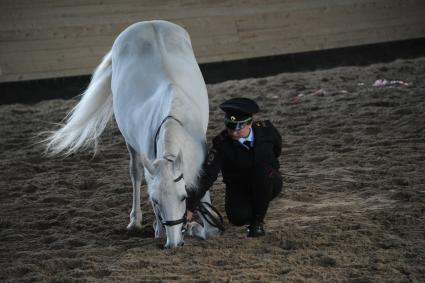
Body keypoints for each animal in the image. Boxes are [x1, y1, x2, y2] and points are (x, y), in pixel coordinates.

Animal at [45, 20, 219, 248]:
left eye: (183, 197)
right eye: (156, 201)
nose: (174, 244)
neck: (175, 118)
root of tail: (148, 22)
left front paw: (197, 226)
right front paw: (164, 229)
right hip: (130, 142)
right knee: (135, 173)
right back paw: (135, 221)